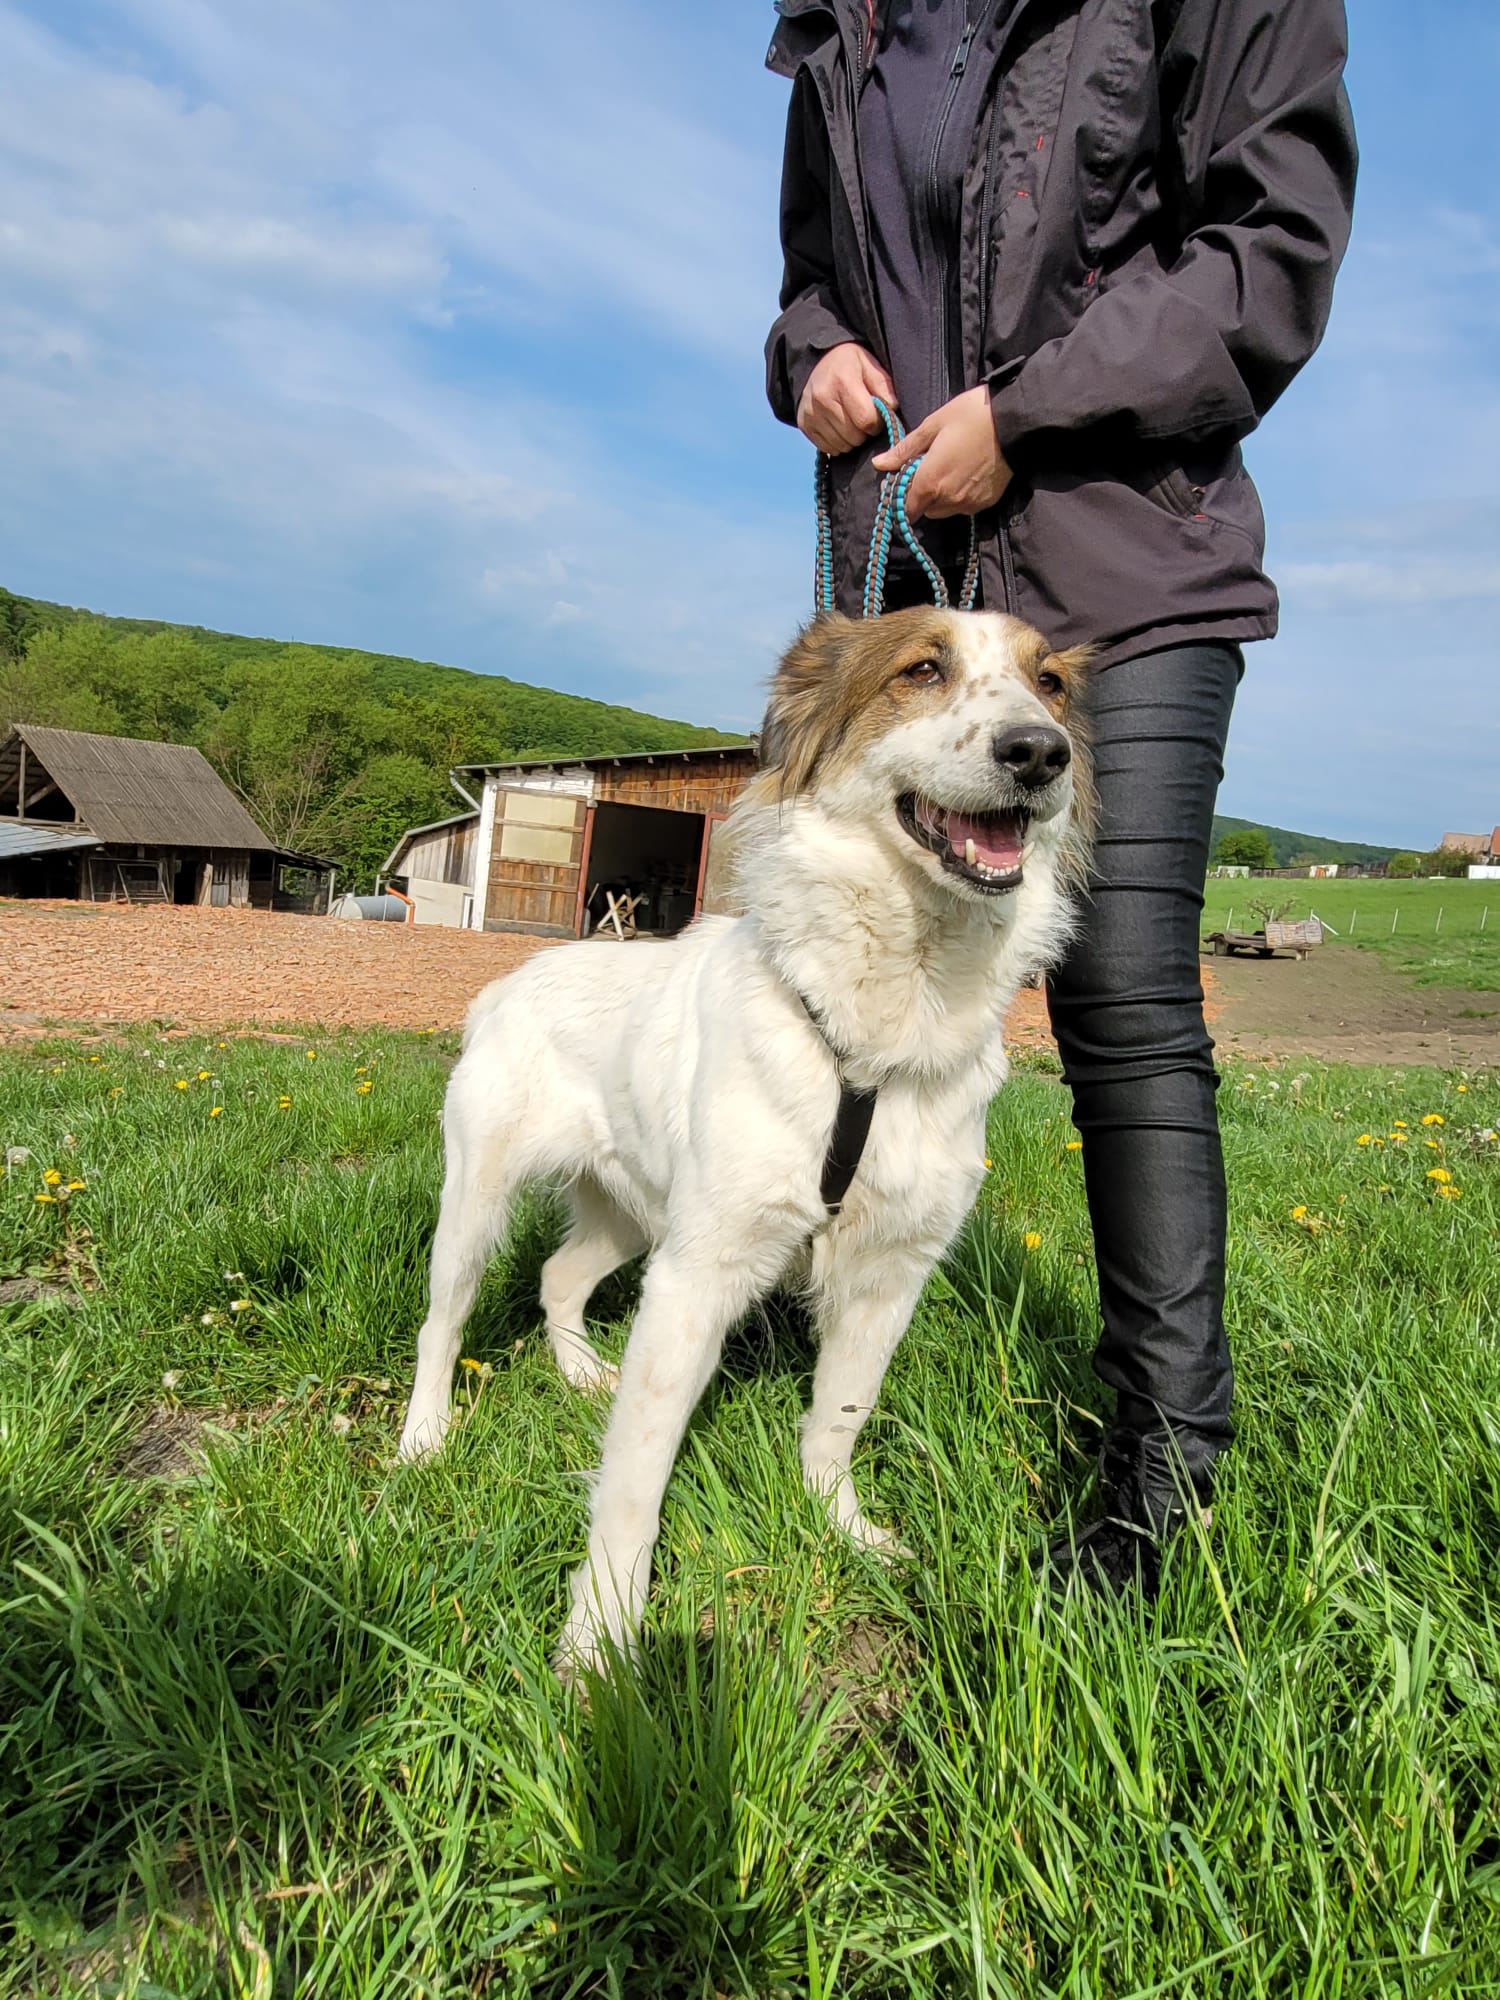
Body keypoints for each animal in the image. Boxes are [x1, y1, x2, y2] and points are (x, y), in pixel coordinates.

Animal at [398, 608, 1093, 1677]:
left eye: (1049, 684)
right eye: (921, 671)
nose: (1039, 753)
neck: (879, 1033)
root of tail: (508, 980)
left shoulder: (887, 1275)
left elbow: (839, 1420)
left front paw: (840, 1528)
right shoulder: (699, 1276)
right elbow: (635, 1481)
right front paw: (600, 1644)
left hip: (633, 1217)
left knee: (560, 1276)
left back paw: (579, 1374)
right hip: (478, 1205)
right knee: (444, 1322)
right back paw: (425, 1438)